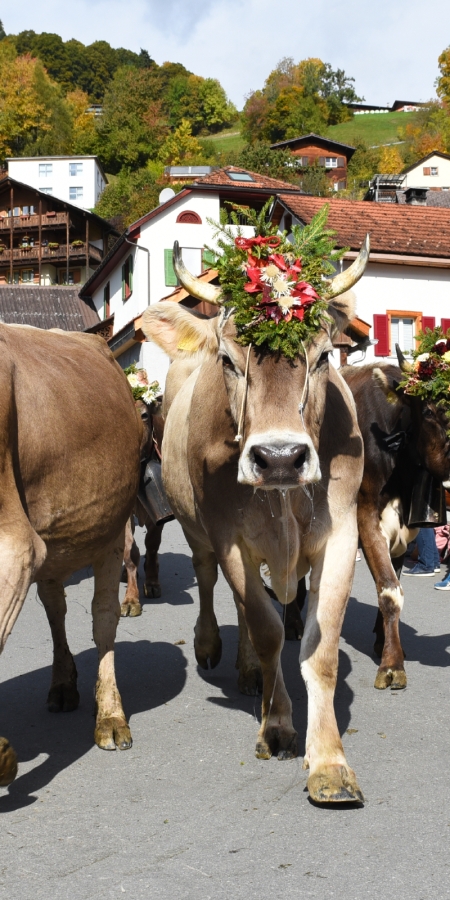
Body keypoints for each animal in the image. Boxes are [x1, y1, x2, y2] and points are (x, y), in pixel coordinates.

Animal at [0, 326, 142, 788]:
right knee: (55, 608)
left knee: (104, 619)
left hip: (112, 528)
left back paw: (110, 715)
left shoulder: (15, 546)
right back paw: (64, 682)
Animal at [141, 237, 370, 800]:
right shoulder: (229, 539)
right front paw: (279, 725)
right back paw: (217, 650)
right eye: (228, 359)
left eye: (323, 356)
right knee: (211, 585)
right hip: (198, 532)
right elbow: (267, 631)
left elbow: (321, 649)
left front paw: (328, 762)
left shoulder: (340, 535)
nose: (281, 458)